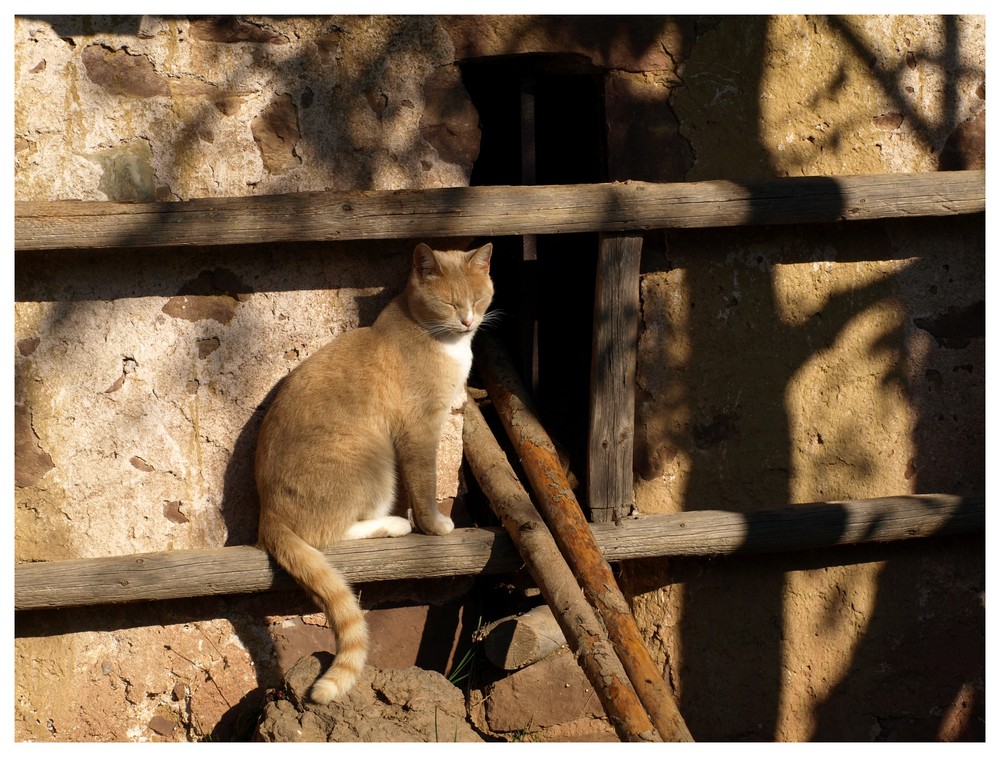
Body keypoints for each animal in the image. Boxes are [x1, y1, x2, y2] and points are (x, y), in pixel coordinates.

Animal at [256, 242, 494, 704]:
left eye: (477, 300)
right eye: (449, 303)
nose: (467, 320)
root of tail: (267, 513)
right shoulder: (420, 429)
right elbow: (425, 483)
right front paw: (434, 526)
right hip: (373, 456)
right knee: (327, 535)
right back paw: (394, 526)